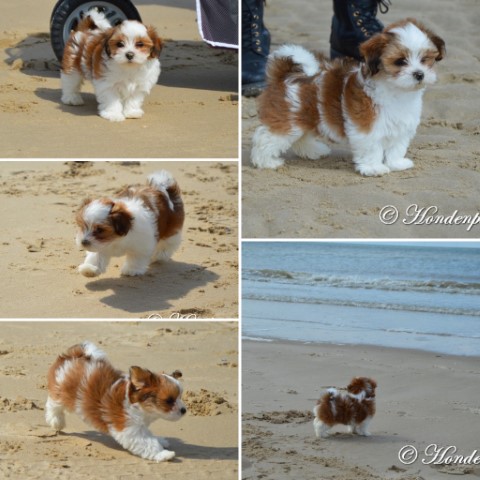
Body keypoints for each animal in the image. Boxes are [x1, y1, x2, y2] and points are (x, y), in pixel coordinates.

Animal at [46, 342, 186, 462]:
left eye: (180, 396)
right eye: (169, 400)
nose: (184, 410)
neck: (135, 405)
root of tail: (74, 355)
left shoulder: (139, 425)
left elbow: (149, 435)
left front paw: (160, 441)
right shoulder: (129, 428)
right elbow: (147, 442)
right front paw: (162, 454)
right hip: (62, 392)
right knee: (53, 404)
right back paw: (56, 421)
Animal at [253, 18, 444, 178]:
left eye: (425, 59)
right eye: (400, 61)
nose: (419, 74)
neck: (395, 90)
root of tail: (284, 76)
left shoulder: (401, 126)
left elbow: (396, 147)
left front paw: (396, 164)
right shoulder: (367, 128)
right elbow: (372, 148)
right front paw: (374, 168)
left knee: (301, 137)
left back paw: (313, 150)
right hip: (286, 119)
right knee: (266, 137)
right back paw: (266, 161)